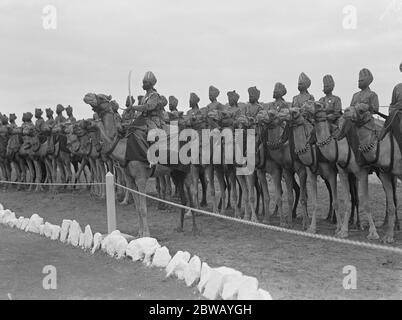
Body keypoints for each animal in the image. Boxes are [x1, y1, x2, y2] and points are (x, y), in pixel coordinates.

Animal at [83, 94, 196, 236]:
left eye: (101, 97)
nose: (87, 96)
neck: (124, 149)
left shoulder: (141, 178)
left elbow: (143, 208)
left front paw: (146, 234)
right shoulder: (130, 179)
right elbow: (137, 208)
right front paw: (139, 234)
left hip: (186, 170)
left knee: (191, 193)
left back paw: (194, 227)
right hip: (176, 172)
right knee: (183, 197)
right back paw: (180, 227)